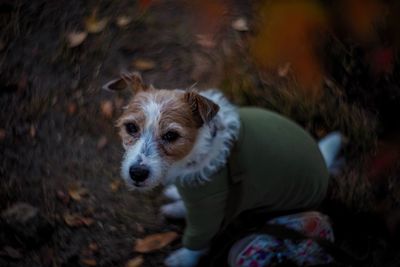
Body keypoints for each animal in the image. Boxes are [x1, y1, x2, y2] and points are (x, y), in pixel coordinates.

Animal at [104, 72, 342, 266]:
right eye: (131, 127)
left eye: (171, 136)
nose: (137, 173)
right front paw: (178, 200)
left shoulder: (210, 204)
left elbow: (197, 241)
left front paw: (184, 258)